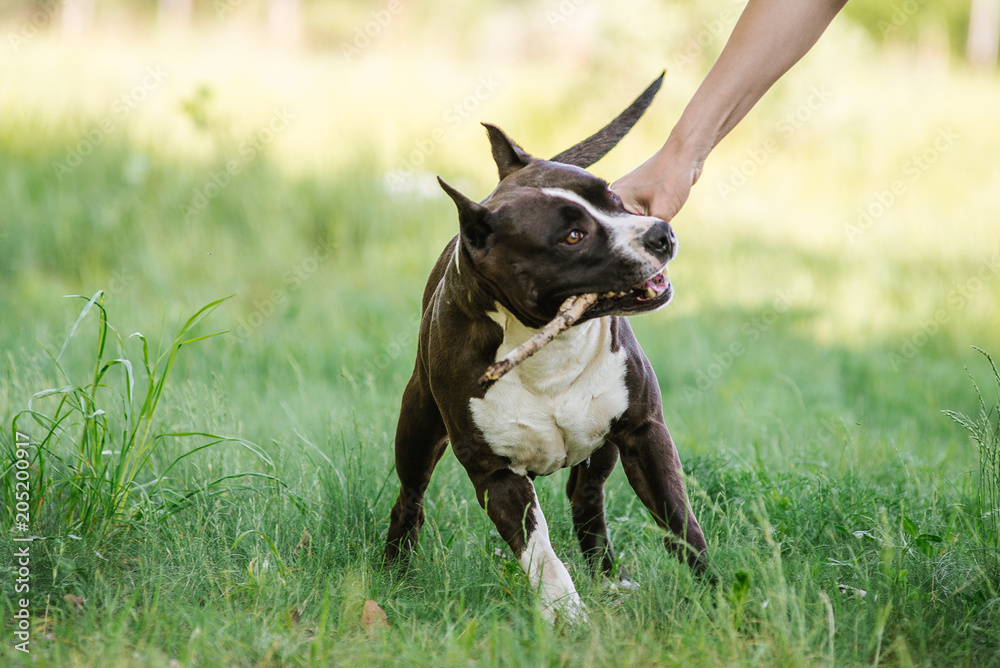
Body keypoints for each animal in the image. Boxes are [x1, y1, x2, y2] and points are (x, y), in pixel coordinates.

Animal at [384, 77, 712, 620]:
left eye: (613, 196)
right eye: (574, 236)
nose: (660, 232)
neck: (549, 350)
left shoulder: (644, 432)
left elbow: (682, 526)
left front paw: (718, 594)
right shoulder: (497, 475)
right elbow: (540, 554)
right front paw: (569, 617)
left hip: (601, 448)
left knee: (588, 498)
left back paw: (607, 577)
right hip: (416, 426)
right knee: (410, 496)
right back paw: (393, 571)